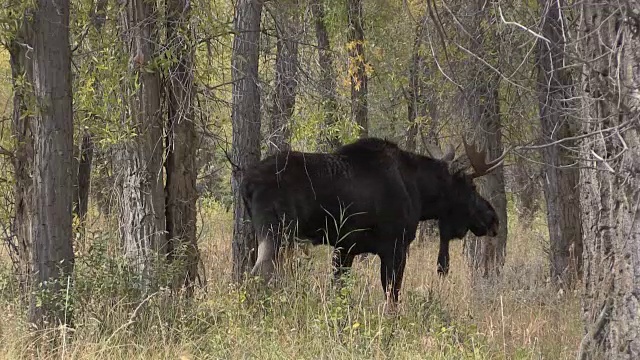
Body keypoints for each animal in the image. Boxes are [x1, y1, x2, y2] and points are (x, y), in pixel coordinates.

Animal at [240, 136, 504, 306]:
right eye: (472, 187)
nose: (494, 219)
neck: (420, 192)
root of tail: (247, 183)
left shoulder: (345, 247)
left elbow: (339, 290)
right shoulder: (395, 246)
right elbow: (392, 295)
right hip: (276, 231)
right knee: (258, 273)